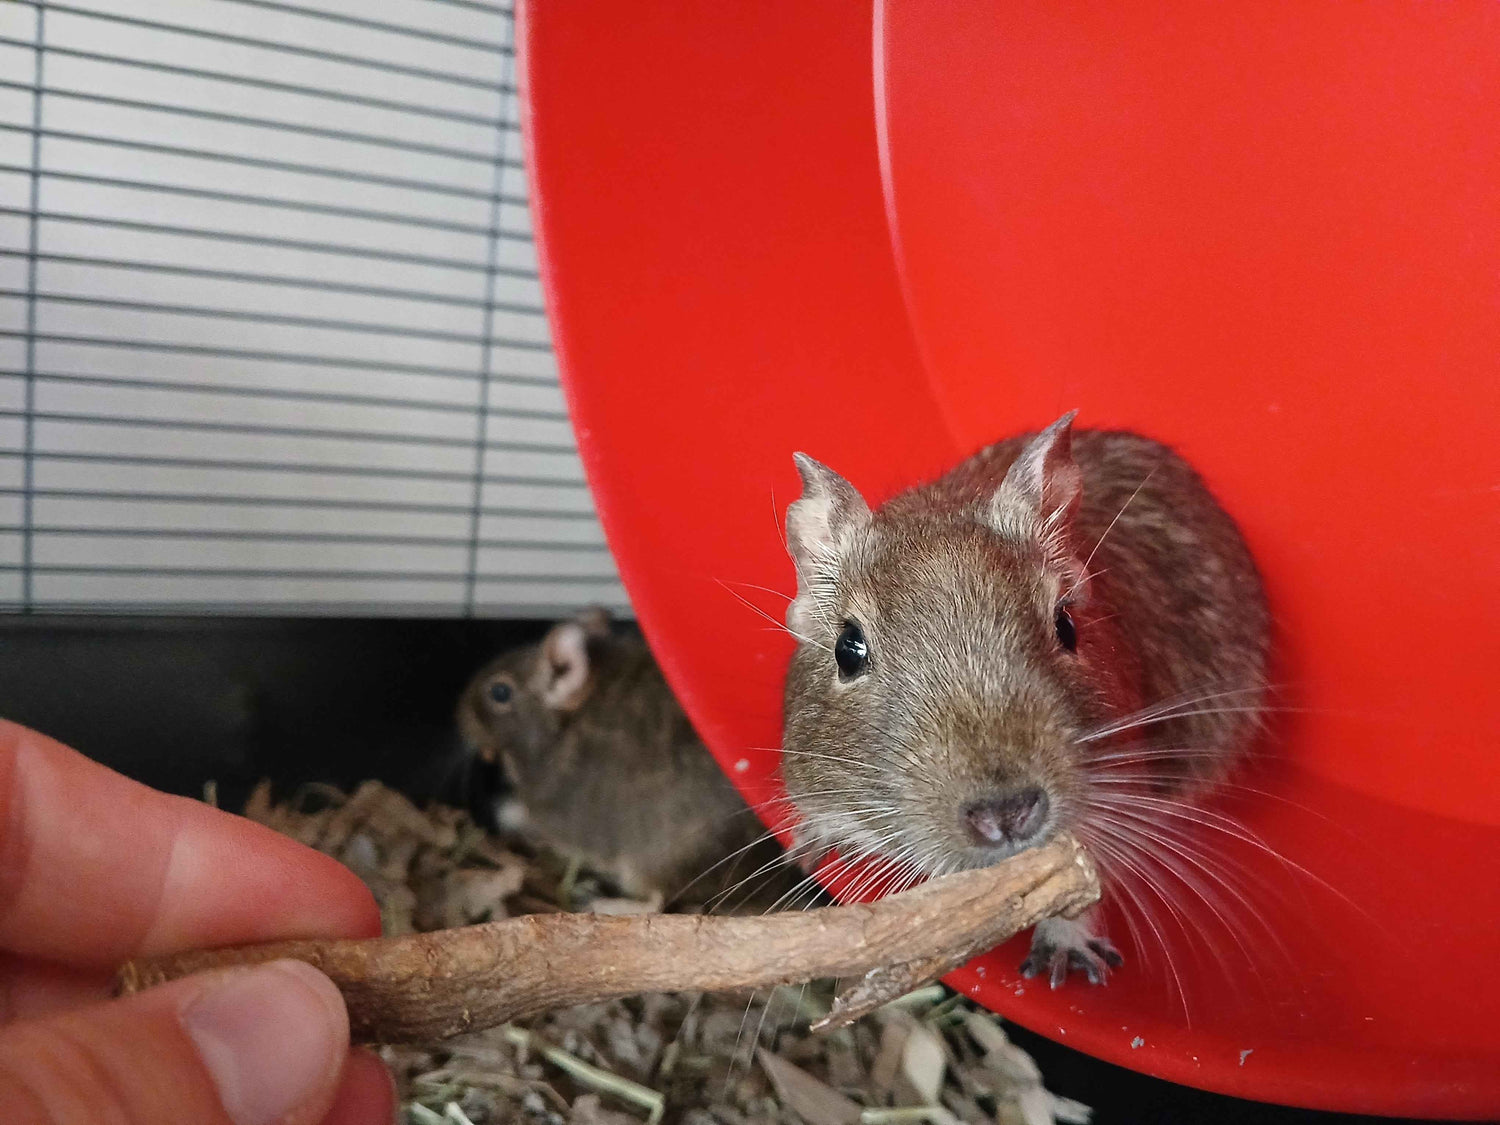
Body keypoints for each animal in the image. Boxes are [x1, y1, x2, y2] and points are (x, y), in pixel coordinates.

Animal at [458, 609, 793, 910]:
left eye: (499, 692)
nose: (459, 713)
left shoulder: (554, 815)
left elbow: (526, 818)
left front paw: (504, 811)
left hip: (659, 861)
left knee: (656, 903)